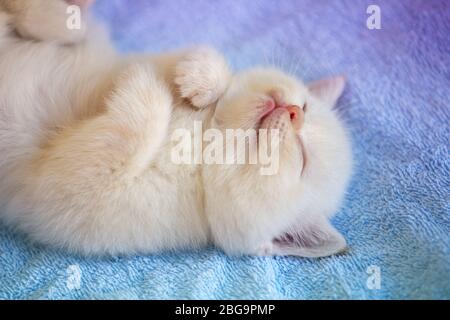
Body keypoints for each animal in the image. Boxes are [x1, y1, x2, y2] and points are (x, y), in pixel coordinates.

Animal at [0, 0, 352, 258]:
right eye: (305, 105)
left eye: (304, 160)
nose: (293, 113)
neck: (202, 143)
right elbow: (204, 60)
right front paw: (201, 78)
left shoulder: (75, 193)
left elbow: (141, 121)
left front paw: (142, 83)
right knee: (46, 23)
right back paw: (62, 14)